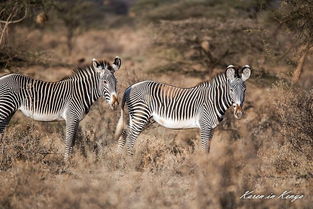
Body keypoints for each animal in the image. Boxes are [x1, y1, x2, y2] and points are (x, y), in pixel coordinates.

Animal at [113, 65, 250, 155]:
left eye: (244, 90)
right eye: (231, 90)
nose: (239, 113)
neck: (213, 100)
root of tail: (130, 87)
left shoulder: (212, 128)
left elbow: (208, 149)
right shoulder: (204, 126)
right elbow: (204, 148)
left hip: (135, 116)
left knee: (124, 134)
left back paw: (120, 159)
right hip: (140, 115)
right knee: (130, 138)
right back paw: (130, 163)